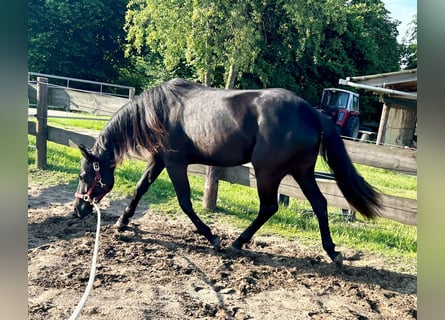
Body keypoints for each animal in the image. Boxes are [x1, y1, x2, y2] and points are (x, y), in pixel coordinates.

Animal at [73, 79, 378, 266]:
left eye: (83, 176)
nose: (78, 210)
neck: (158, 111)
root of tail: (314, 114)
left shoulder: (175, 163)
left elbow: (185, 202)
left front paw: (212, 237)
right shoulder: (159, 160)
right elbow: (140, 188)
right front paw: (122, 223)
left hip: (267, 173)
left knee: (269, 207)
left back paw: (238, 242)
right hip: (301, 172)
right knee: (319, 203)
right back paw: (332, 252)